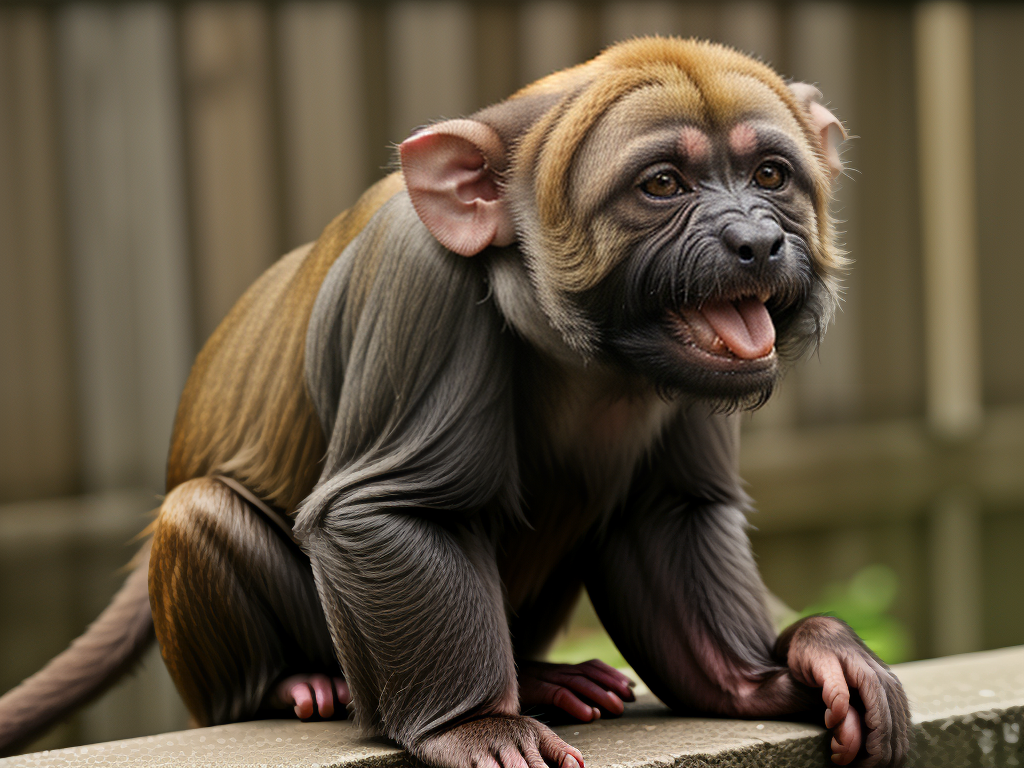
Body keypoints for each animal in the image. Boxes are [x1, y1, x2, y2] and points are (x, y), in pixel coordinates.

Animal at [0, 37, 910, 767]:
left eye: (770, 176)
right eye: (663, 183)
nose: (756, 240)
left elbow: (670, 515)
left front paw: (777, 673)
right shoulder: (420, 279)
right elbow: (388, 510)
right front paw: (473, 725)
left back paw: (539, 677)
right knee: (198, 513)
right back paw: (296, 685)